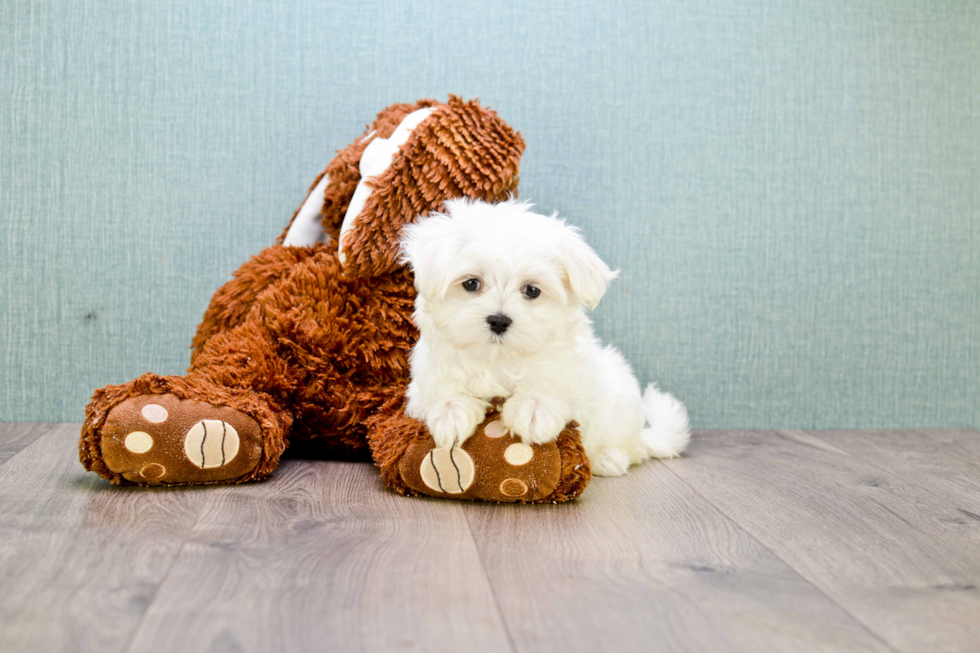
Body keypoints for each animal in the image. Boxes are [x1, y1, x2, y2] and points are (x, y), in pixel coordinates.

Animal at [398, 197, 688, 474]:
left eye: (532, 290)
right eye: (471, 283)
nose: (499, 320)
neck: (498, 359)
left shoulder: (569, 368)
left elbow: (551, 380)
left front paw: (533, 408)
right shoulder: (427, 376)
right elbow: (441, 386)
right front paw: (450, 412)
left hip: (620, 398)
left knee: (628, 445)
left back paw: (608, 458)